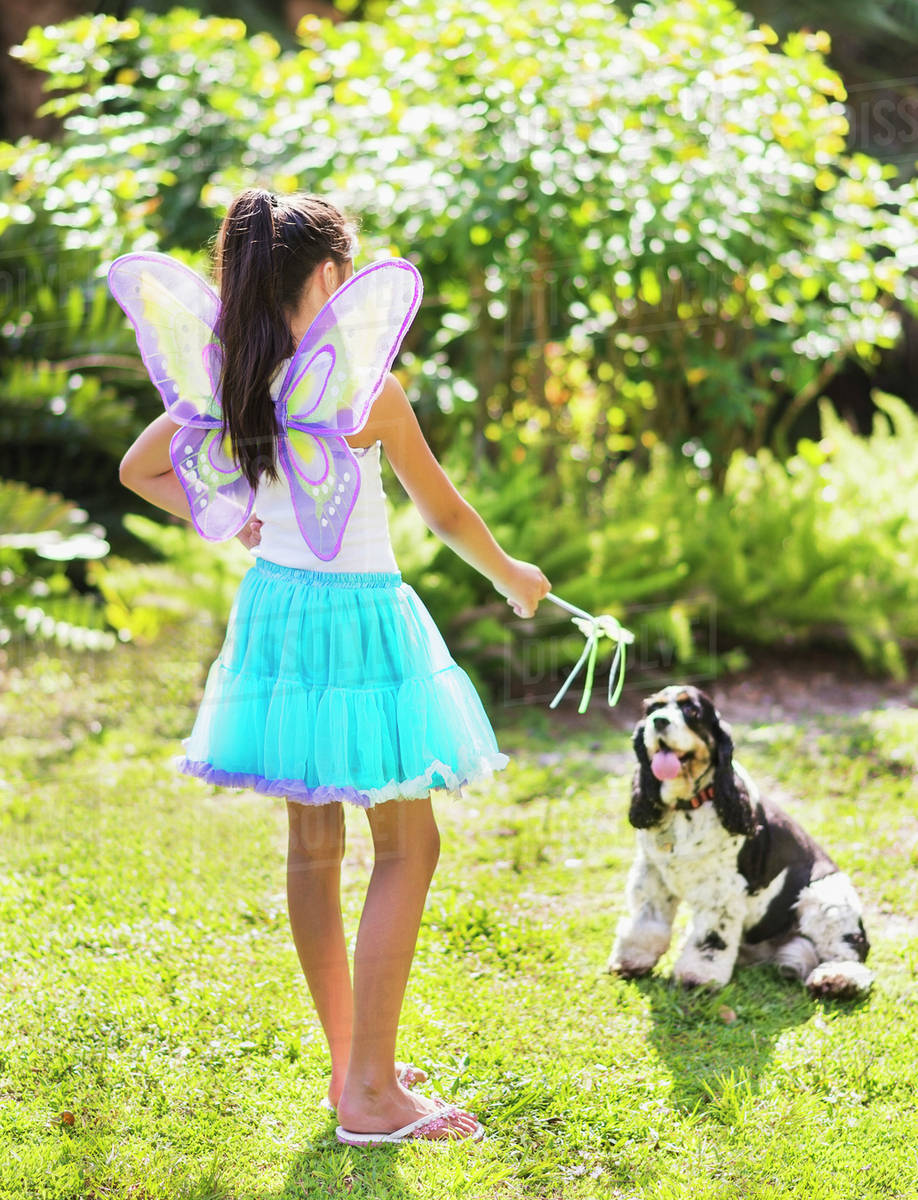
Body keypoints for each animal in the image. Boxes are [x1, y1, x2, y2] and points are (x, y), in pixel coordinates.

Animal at [609, 686, 873, 993]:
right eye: (652, 709)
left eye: (692, 711)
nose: (659, 721)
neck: (686, 806)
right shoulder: (652, 877)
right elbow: (646, 924)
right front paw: (632, 961)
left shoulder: (722, 890)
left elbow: (710, 940)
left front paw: (698, 977)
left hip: (823, 898)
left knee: (848, 952)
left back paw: (836, 980)